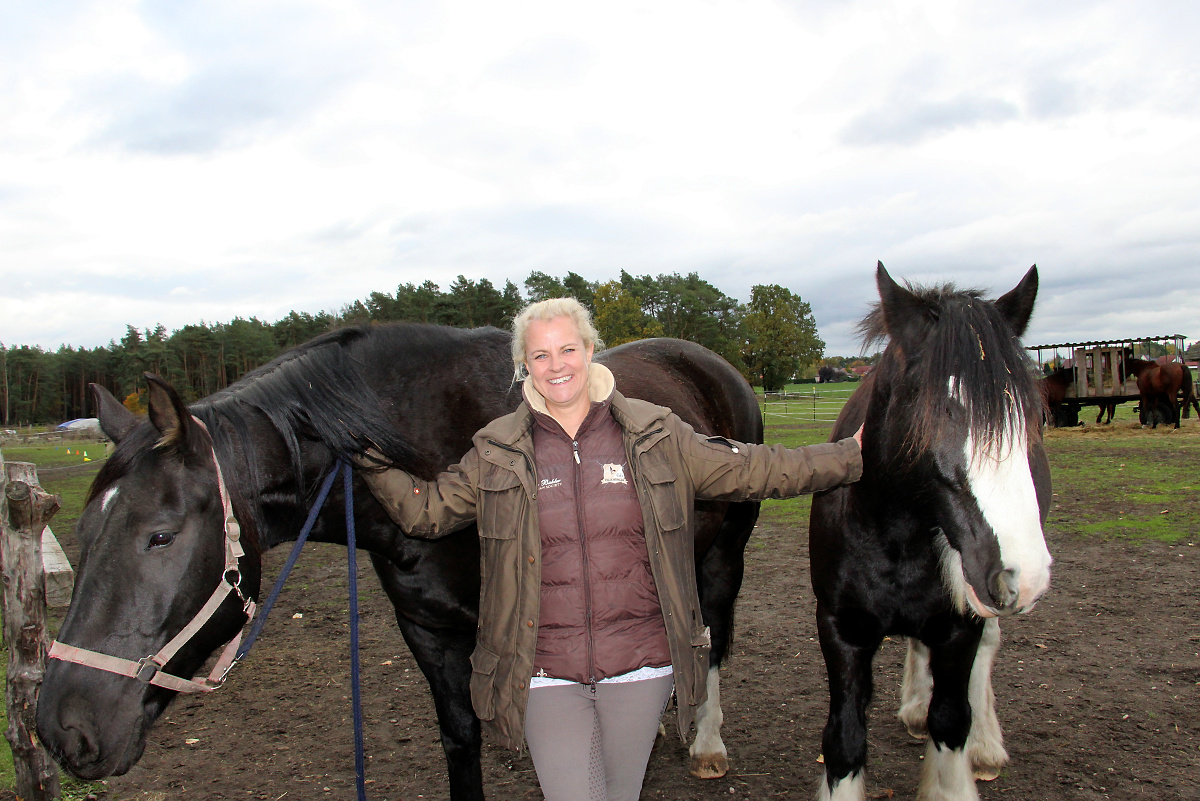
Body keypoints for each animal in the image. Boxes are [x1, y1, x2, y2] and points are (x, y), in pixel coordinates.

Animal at [39, 326, 768, 801]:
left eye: (159, 536)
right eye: (81, 530)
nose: (63, 730)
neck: (435, 447)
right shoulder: (429, 630)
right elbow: (461, 738)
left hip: (723, 554)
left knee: (712, 631)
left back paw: (706, 743)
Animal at [811, 263, 1056, 801]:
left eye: (1028, 415)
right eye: (936, 409)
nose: (1021, 575)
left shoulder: (960, 627)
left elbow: (951, 721)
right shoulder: (842, 629)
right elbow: (845, 739)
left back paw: (984, 744)